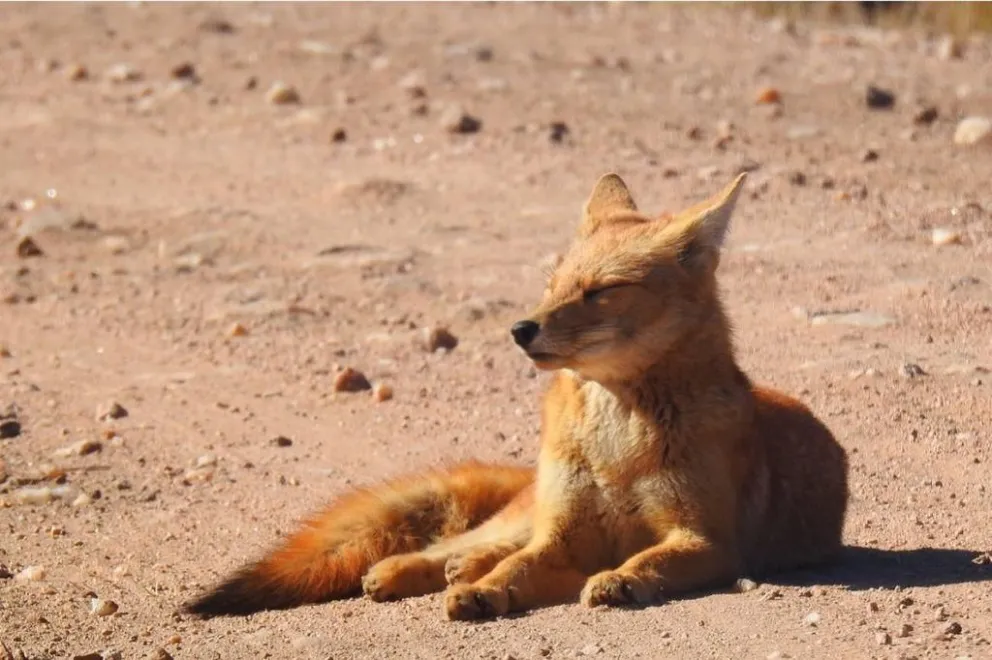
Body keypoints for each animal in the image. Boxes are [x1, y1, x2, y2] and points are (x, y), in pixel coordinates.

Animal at [185, 172, 849, 621]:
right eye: (552, 285)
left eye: (600, 291)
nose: (521, 329)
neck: (618, 448)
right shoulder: (562, 537)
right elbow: (517, 566)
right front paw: (484, 592)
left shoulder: (706, 541)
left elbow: (645, 561)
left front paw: (618, 582)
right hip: (528, 513)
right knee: (464, 543)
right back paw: (417, 570)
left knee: (475, 546)